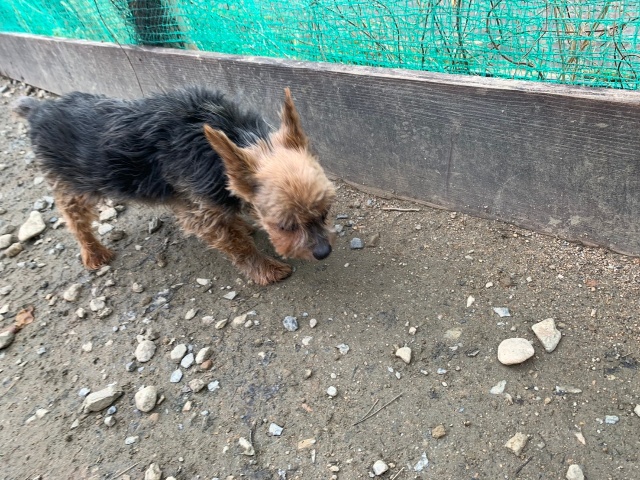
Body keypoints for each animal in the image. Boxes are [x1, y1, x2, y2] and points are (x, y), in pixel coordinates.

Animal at [13, 86, 336, 285]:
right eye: (285, 226)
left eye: (324, 213)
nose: (323, 252)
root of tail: (40, 109)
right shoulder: (198, 212)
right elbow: (237, 244)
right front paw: (265, 269)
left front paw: (244, 224)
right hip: (73, 184)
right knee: (74, 218)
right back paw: (94, 254)